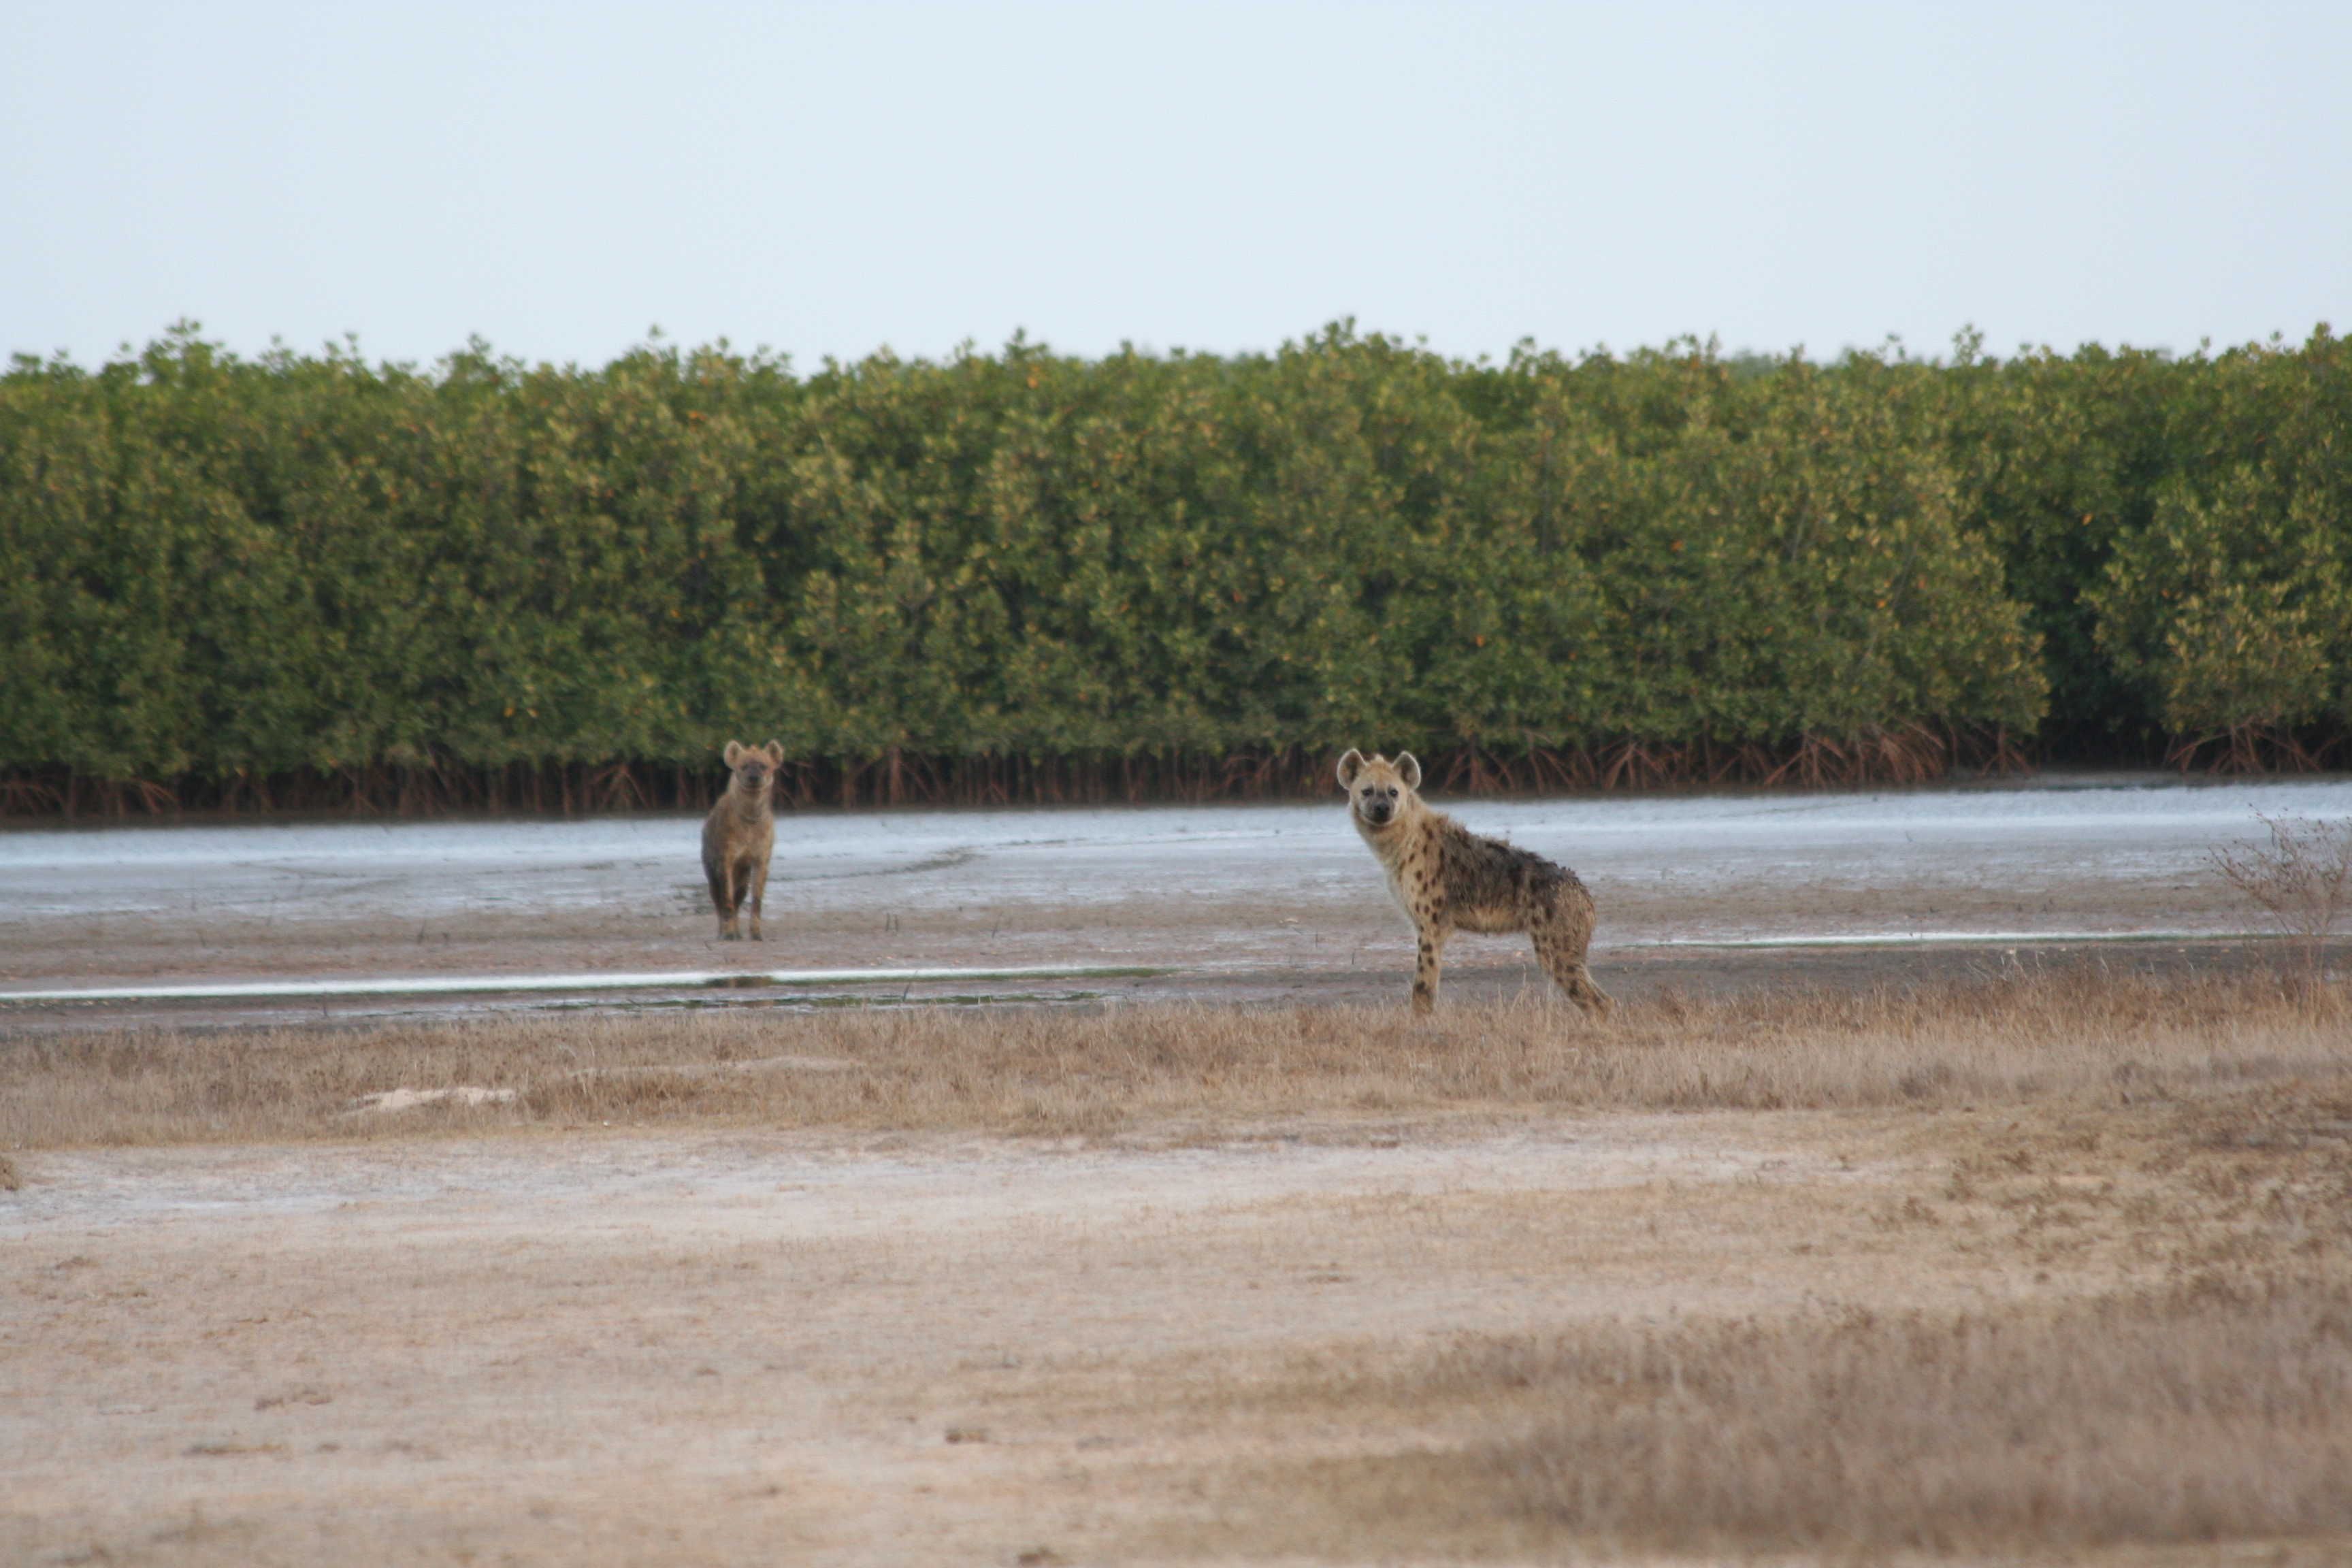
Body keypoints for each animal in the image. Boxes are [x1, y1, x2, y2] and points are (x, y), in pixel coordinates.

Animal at [702, 740, 783, 940]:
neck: (751, 819)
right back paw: (723, 933)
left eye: (763, 766)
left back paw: (738, 933)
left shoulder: (761, 859)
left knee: (739, 895)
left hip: (743, 874)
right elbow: (726, 900)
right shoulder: (725, 859)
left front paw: (756, 934)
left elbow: (756, 899)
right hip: (711, 868)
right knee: (719, 898)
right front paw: (729, 933)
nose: (754, 777)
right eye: (744, 766)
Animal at [1337, 749, 1611, 1017]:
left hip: (1554, 942)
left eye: (1393, 792)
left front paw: (1419, 1021)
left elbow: (1424, 985)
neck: (1398, 846)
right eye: (1367, 791)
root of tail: (1585, 894)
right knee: (1601, 997)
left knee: (1595, 999)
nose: (1382, 808)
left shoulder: (1431, 922)